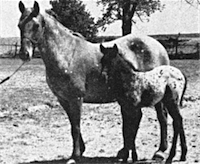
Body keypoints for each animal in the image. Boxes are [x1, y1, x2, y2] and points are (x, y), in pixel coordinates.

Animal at [18, 1, 170, 163]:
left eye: (36, 26)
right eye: (19, 25)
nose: (24, 54)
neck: (67, 54)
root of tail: (158, 46)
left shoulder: (76, 98)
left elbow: (76, 127)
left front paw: (75, 156)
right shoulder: (63, 99)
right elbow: (72, 124)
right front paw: (81, 150)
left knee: (162, 117)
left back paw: (160, 152)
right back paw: (124, 152)